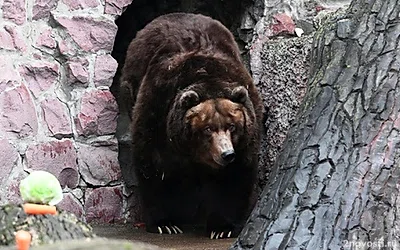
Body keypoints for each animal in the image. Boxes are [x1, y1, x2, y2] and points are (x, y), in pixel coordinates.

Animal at [119, 11, 262, 238]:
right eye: (208, 128)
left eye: (232, 126)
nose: (226, 154)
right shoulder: (158, 111)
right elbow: (155, 167)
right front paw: (165, 223)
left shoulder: (246, 130)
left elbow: (235, 176)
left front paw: (222, 228)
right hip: (131, 86)